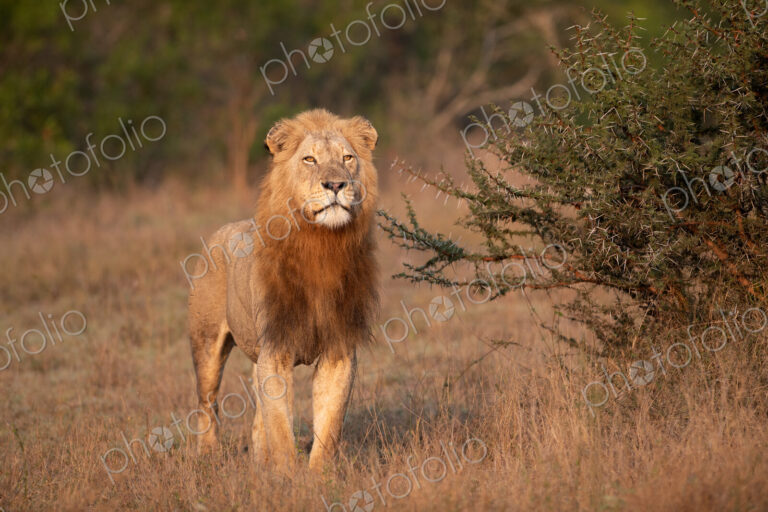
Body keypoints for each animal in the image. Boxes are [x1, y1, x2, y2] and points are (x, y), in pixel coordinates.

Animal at [188, 109, 378, 472]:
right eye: (309, 159)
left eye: (347, 158)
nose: (336, 184)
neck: (321, 244)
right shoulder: (276, 347)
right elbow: (279, 425)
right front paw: (287, 476)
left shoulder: (338, 350)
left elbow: (329, 423)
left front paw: (319, 476)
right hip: (206, 342)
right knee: (207, 403)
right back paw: (207, 458)